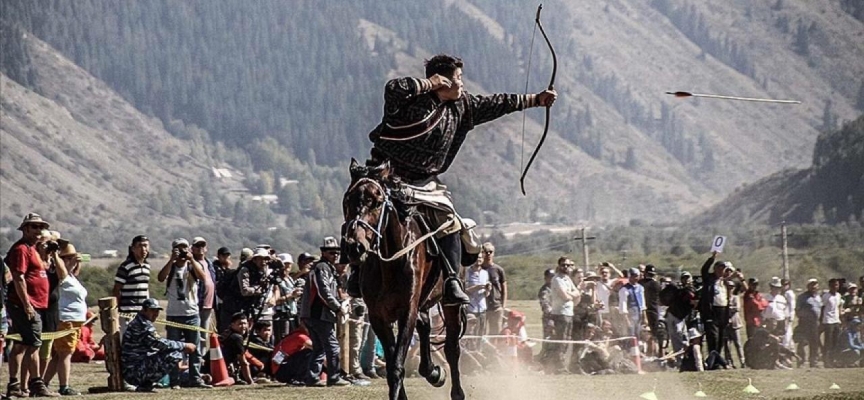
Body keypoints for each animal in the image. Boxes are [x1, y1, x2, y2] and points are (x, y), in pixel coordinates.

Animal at [342, 159, 466, 400]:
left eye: (376, 202)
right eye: (348, 200)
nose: (355, 247)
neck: (390, 263)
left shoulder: (406, 311)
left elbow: (397, 365)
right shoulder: (378, 316)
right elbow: (392, 365)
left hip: (449, 303)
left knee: (452, 348)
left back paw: (455, 391)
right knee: (425, 326)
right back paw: (432, 372)